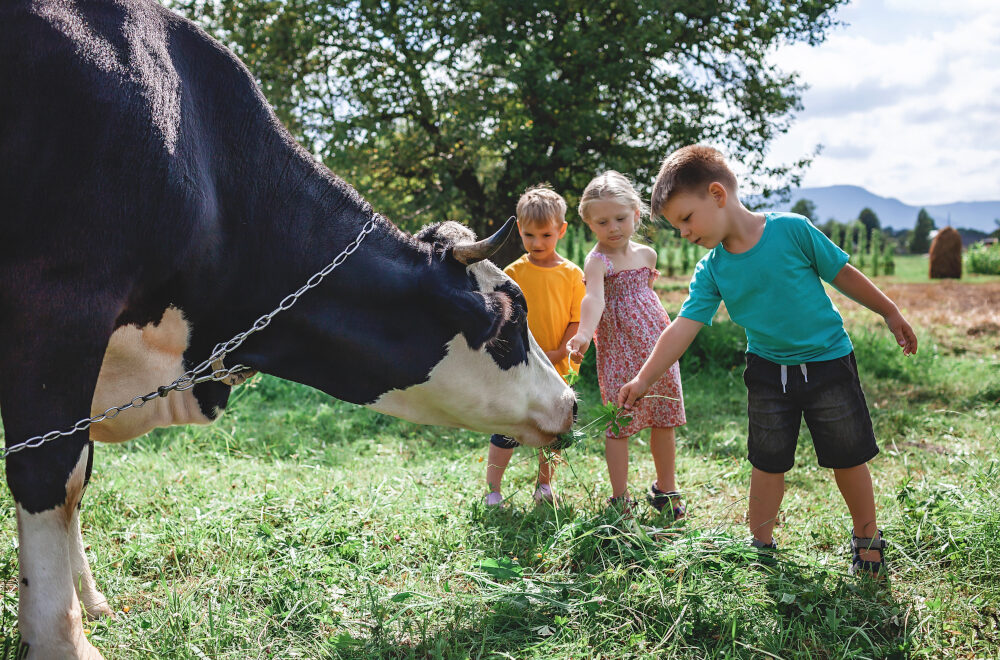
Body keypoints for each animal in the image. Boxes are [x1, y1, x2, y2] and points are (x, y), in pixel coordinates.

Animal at [0, 2, 576, 656]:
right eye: (511, 321)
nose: (572, 402)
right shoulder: (59, 304)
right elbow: (52, 475)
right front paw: (61, 639)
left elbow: (79, 476)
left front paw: (92, 602)